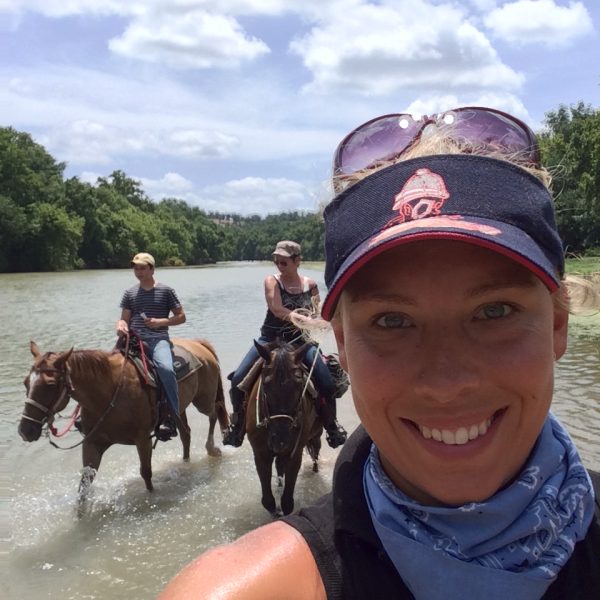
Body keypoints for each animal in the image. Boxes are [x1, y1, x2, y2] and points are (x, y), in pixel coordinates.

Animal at [18, 340, 230, 504]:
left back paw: (212, 448)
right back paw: (185, 463)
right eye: (26, 382)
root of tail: (198, 344)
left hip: (203, 400)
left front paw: (151, 497)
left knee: (215, 412)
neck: (108, 392)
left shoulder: (142, 440)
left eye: (50, 384)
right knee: (186, 434)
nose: (24, 430)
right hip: (179, 409)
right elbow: (84, 484)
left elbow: (146, 473)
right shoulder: (92, 443)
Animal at [245, 338, 324, 516]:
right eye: (266, 385)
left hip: (316, 434)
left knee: (316, 450)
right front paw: (275, 511)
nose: (280, 441)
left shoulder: (294, 454)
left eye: (299, 384)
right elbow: (267, 500)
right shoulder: (261, 454)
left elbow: (288, 502)